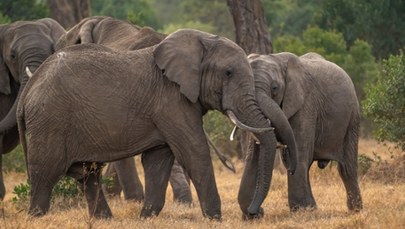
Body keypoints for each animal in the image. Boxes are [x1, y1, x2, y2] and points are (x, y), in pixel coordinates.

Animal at [16, 29, 296, 219]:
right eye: (228, 73)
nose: (254, 212)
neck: (202, 41)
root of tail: (29, 88)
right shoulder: (171, 101)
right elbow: (194, 152)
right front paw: (215, 218)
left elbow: (158, 160)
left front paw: (146, 217)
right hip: (50, 120)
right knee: (46, 172)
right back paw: (36, 217)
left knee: (88, 174)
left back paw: (104, 219)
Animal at [246, 52, 362, 213]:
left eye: (274, 88)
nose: (252, 211)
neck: (277, 58)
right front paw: (305, 209)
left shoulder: (305, 103)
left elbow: (300, 153)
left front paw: (300, 210)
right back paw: (313, 207)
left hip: (352, 117)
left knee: (346, 167)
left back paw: (356, 210)